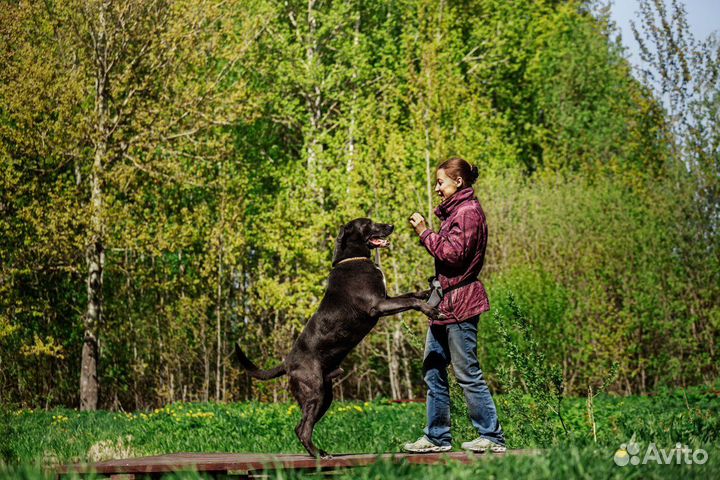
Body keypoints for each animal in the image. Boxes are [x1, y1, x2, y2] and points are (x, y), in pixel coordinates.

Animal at [236, 218, 442, 458]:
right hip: (314, 391)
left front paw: (427, 291)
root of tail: (287, 363)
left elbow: (409, 295)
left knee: (300, 426)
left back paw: (318, 451)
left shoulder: (387, 298)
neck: (354, 258)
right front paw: (431, 310)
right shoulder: (377, 305)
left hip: (326, 396)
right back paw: (319, 454)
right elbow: (411, 302)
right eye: (368, 223)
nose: (391, 225)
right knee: (303, 428)